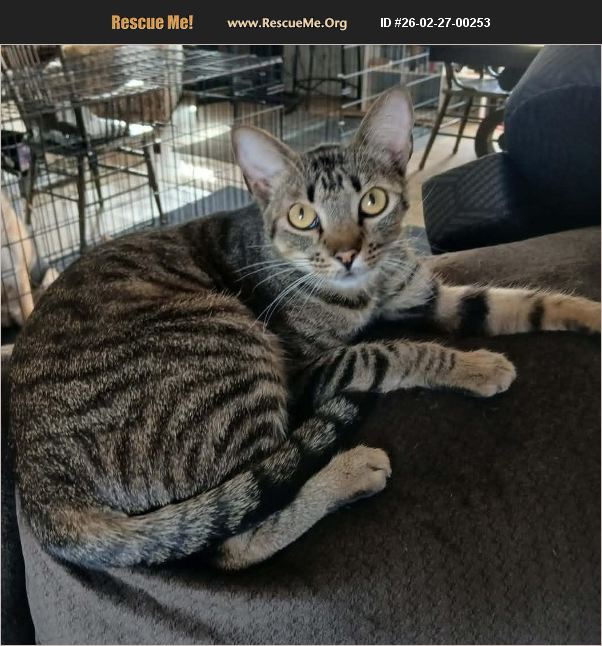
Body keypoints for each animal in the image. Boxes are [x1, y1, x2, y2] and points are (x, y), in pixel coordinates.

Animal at [10, 87, 600, 570]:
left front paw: (589, 314)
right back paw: (351, 471)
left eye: (373, 201)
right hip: (231, 343)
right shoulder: (304, 369)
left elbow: (522, 302)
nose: (345, 253)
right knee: (236, 538)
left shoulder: (427, 296)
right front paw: (476, 365)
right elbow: (396, 352)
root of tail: (37, 483)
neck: (367, 289)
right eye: (301, 216)